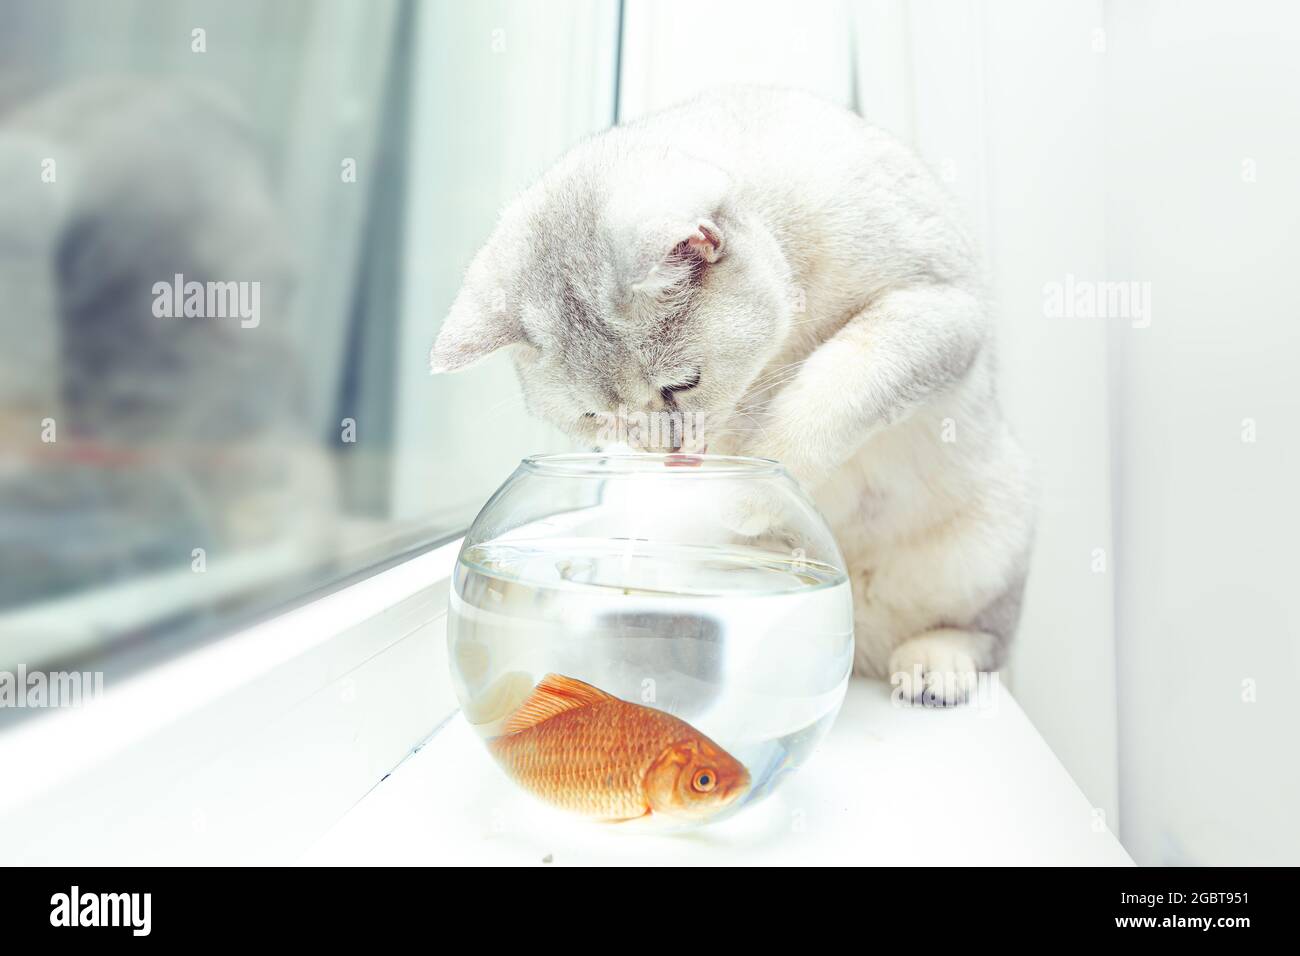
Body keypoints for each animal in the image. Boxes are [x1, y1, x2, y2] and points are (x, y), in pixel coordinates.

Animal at [431, 85, 1029, 707]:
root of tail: (861, 637)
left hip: (995, 535)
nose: (667, 456)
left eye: (679, 385)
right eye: (596, 417)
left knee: (986, 635)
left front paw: (747, 493)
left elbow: (835, 386)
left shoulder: (936, 308)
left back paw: (936, 664)